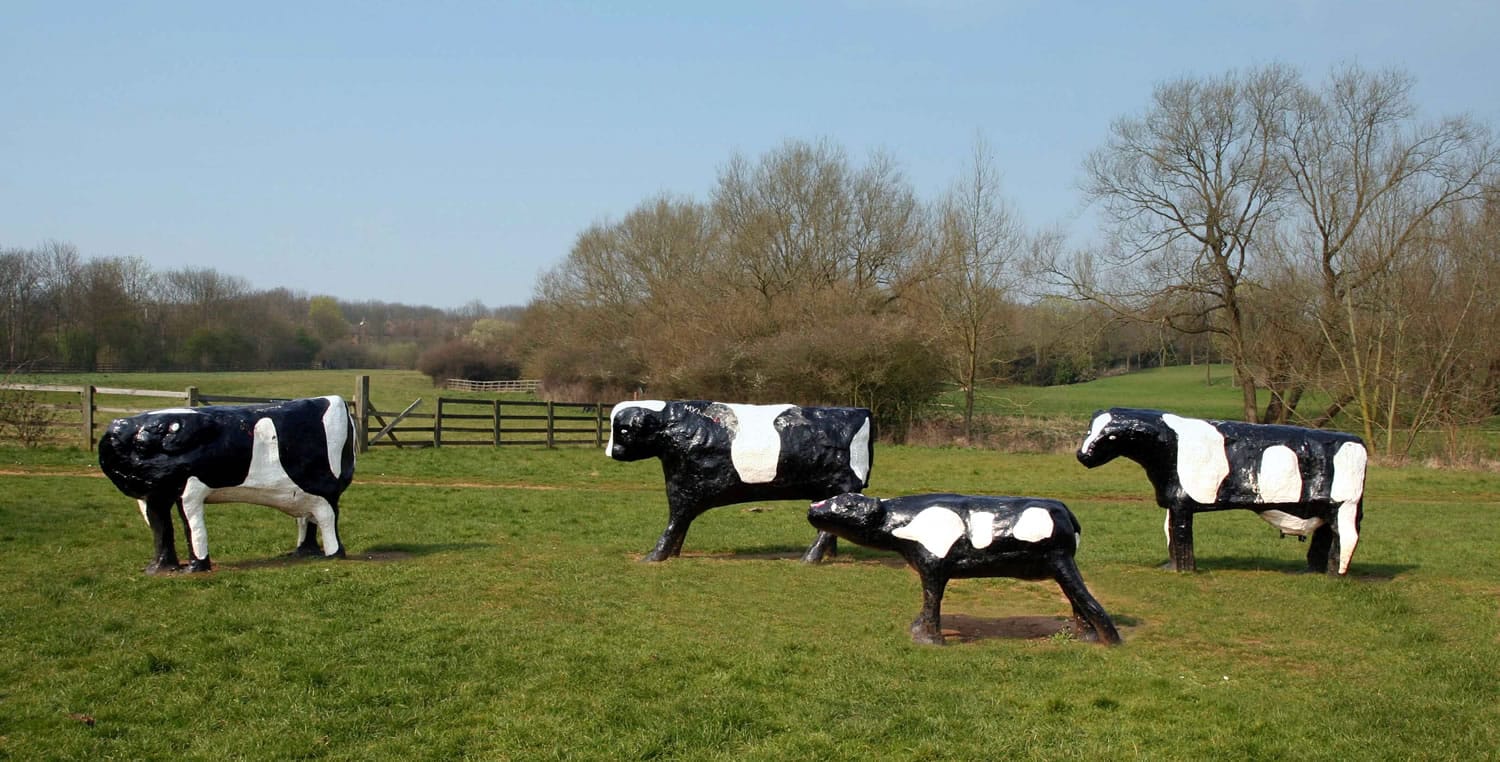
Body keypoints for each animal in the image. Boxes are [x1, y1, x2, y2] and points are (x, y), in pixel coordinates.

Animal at [99, 396, 357, 573]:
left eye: (142, 445)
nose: (108, 442)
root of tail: (334, 400)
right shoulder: (152, 496)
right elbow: (160, 530)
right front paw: (157, 568)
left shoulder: (190, 491)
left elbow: (194, 531)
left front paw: (195, 568)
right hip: (299, 495)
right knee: (307, 520)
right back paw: (303, 553)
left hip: (323, 490)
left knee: (327, 518)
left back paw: (332, 555)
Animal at [606, 402, 876, 564]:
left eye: (624, 431)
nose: (612, 452)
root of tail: (860, 411)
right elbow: (680, 526)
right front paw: (672, 554)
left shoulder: (686, 489)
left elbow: (674, 524)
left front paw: (654, 556)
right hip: (826, 491)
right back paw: (829, 555)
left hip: (843, 486)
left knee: (826, 529)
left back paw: (810, 558)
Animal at [810, 495, 1116, 642]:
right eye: (836, 496)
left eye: (848, 504)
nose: (813, 508)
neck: (895, 517)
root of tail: (1066, 511)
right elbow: (928, 604)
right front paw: (916, 627)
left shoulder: (933, 560)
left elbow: (932, 599)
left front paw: (929, 639)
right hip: (1058, 565)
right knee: (1077, 601)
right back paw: (1086, 637)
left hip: (1059, 559)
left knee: (1087, 600)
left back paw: (1111, 641)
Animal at [1080, 408, 1374, 573]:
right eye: (1088, 430)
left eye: (1111, 436)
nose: (1082, 455)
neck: (1170, 444)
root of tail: (1356, 440)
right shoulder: (1173, 500)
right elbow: (1170, 533)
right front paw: (1170, 567)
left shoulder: (1183, 502)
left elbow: (1181, 536)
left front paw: (1184, 571)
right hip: (1325, 508)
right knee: (1324, 537)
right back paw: (1313, 571)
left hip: (1344, 503)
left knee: (1346, 537)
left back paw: (1335, 574)